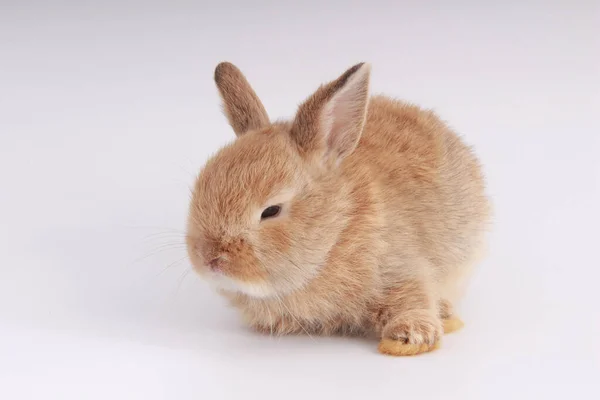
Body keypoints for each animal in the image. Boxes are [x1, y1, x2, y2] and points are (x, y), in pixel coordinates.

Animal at [185, 62, 490, 356]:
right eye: (200, 189)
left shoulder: (401, 265)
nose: (210, 258)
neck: (337, 231)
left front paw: (408, 340)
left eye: (271, 211)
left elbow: (412, 297)